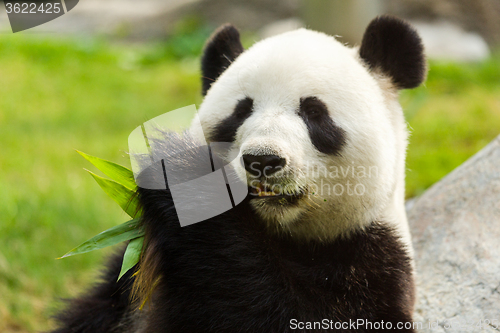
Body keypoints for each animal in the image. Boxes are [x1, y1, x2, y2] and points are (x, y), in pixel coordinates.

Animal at [51, 14, 426, 330]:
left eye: (314, 112)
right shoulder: (128, 278)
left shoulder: (372, 263)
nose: (263, 160)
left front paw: (186, 177)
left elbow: (282, 311)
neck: (283, 233)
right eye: (241, 112)